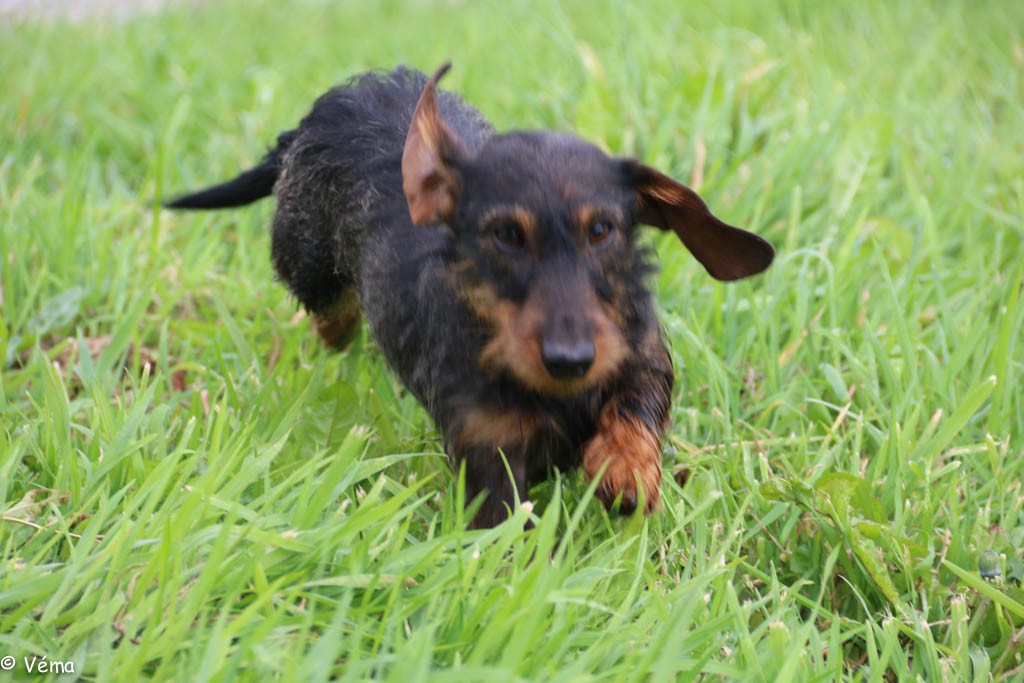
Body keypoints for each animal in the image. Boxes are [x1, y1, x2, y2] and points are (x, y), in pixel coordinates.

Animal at [167, 62, 770, 528]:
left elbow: (636, 406)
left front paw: (627, 470)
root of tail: (318, 116)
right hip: (307, 260)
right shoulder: (488, 449)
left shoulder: (637, 354)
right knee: (330, 309)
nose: (571, 359)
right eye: (505, 235)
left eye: (602, 231)